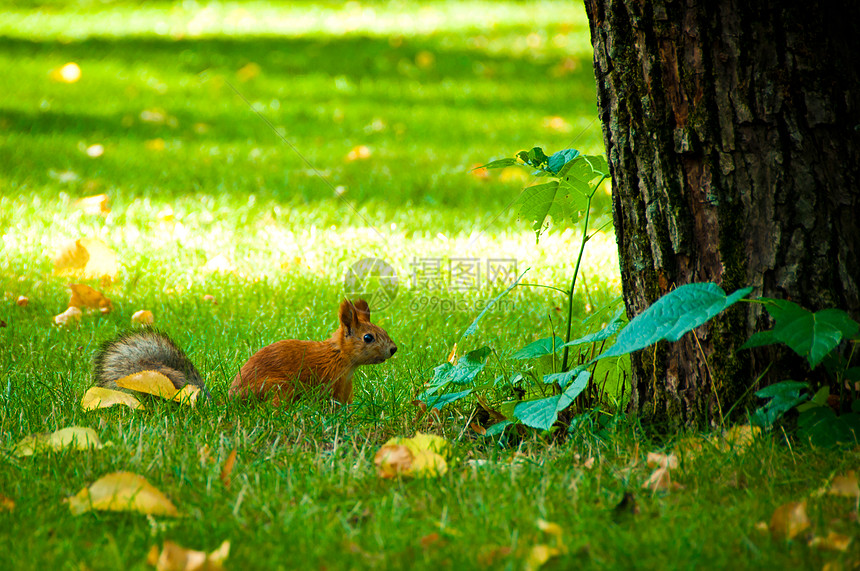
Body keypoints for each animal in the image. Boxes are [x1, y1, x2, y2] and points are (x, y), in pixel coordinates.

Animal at [91, 300, 396, 406]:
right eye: (368, 337)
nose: (393, 349)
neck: (340, 358)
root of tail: (231, 401)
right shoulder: (328, 378)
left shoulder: (344, 384)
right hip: (277, 387)